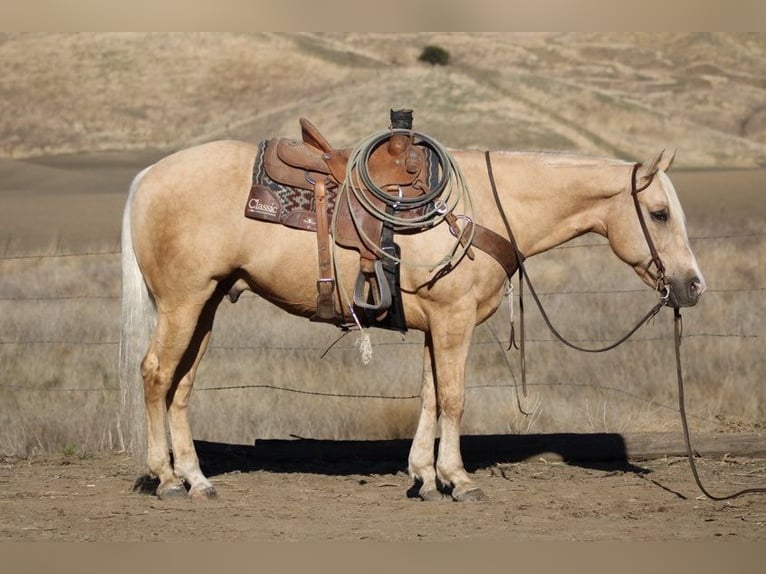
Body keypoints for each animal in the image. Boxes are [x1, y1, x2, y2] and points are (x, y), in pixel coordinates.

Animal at [120, 135, 705, 502]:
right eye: (659, 214)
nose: (692, 285)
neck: (482, 208)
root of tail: (148, 175)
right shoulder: (454, 321)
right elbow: (454, 398)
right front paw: (459, 479)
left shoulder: (436, 324)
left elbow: (430, 395)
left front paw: (424, 476)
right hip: (184, 301)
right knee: (154, 374)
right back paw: (165, 478)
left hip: (208, 303)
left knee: (181, 384)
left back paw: (196, 478)